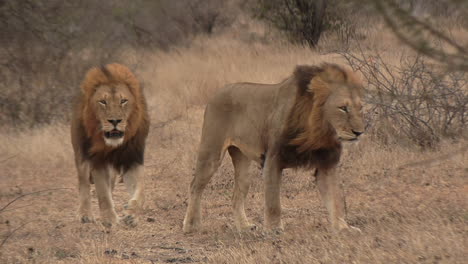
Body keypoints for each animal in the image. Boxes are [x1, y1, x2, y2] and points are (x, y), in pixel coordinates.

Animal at [184, 63, 366, 233]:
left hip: (243, 163)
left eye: (360, 108)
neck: (319, 132)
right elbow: (273, 202)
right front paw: (274, 229)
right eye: (343, 108)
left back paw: (244, 226)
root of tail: (217, 92)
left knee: (236, 194)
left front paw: (343, 227)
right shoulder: (273, 159)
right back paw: (191, 225)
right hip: (211, 153)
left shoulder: (326, 164)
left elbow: (335, 199)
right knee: (194, 186)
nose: (359, 132)